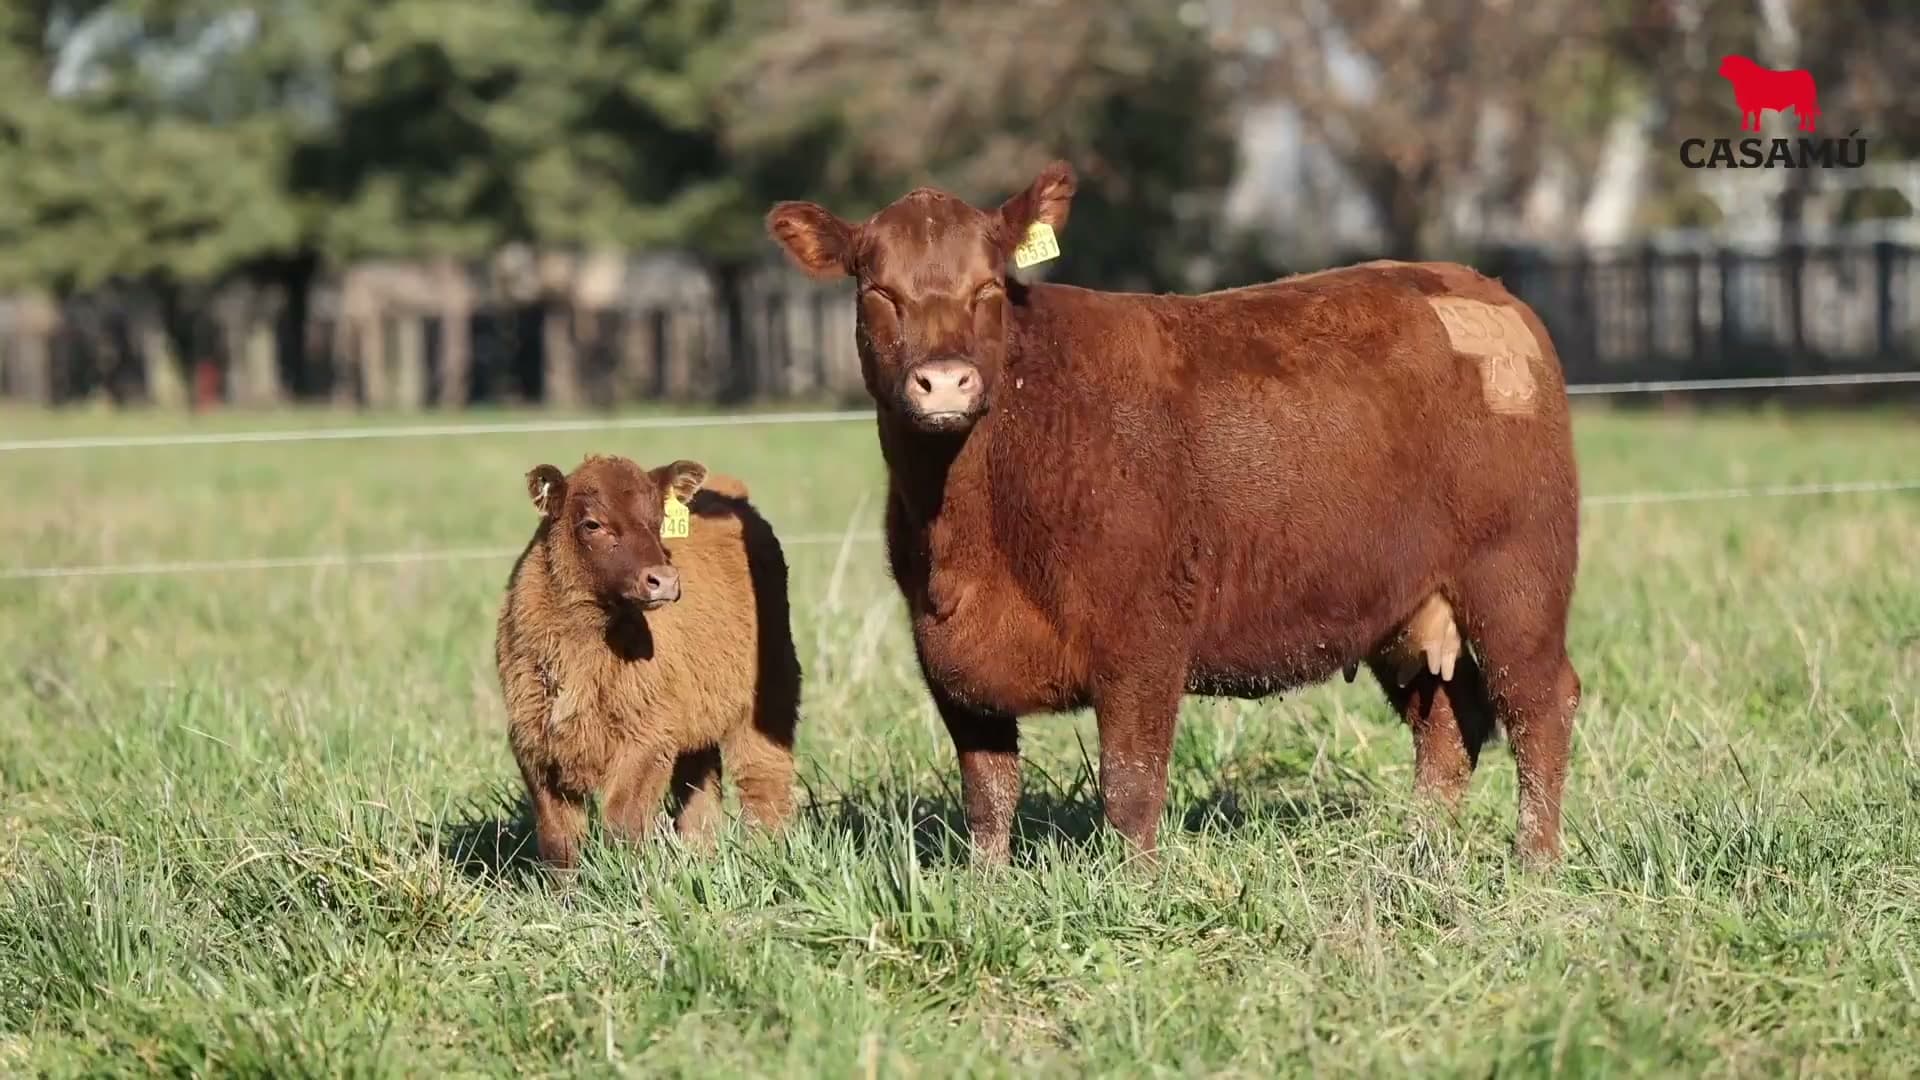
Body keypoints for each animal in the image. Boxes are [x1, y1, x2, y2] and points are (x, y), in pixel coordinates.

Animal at [494, 453, 802, 872]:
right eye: (592, 523)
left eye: (658, 521)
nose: (665, 580)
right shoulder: (534, 744)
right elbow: (560, 843)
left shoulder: (648, 737)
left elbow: (623, 824)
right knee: (700, 794)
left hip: (771, 689)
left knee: (763, 779)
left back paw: (767, 855)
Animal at [765, 160, 1584, 866]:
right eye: (879, 291)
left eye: (988, 287)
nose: (944, 381)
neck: (971, 526)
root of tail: (1488, 292)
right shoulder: (946, 655)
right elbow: (988, 795)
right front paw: (985, 888)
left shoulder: (1144, 638)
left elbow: (1130, 788)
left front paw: (1138, 892)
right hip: (1403, 604)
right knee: (1449, 720)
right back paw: (1418, 855)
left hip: (1518, 577)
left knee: (1539, 702)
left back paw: (1533, 861)